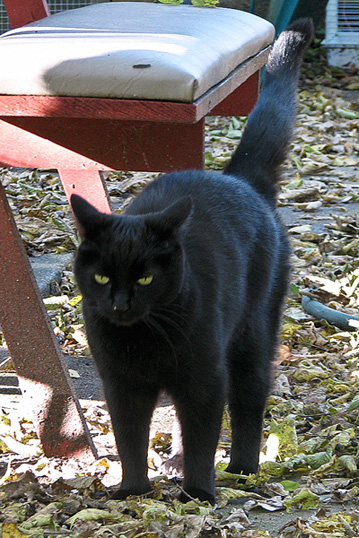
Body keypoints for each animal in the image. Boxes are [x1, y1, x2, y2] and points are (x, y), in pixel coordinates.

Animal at [71, 18, 314, 504]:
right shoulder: (121, 384)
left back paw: (241, 470)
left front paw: (198, 493)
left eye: (145, 279)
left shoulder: (203, 378)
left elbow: (202, 434)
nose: (120, 305)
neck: (142, 338)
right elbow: (129, 436)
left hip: (252, 338)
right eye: (102, 277)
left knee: (249, 402)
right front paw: (132, 490)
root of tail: (241, 180)